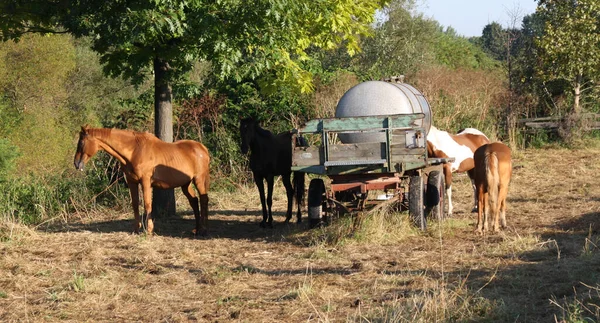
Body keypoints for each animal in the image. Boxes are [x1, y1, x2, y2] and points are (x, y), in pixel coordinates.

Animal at [73, 126, 211, 235]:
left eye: (81, 143)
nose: (76, 164)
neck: (135, 150)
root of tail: (202, 148)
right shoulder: (132, 182)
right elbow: (135, 204)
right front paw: (136, 229)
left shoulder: (145, 181)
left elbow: (147, 204)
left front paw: (149, 230)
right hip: (186, 184)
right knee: (194, 201)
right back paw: (197, 229)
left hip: (199, 179)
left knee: (204, 199)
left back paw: (204, 229)